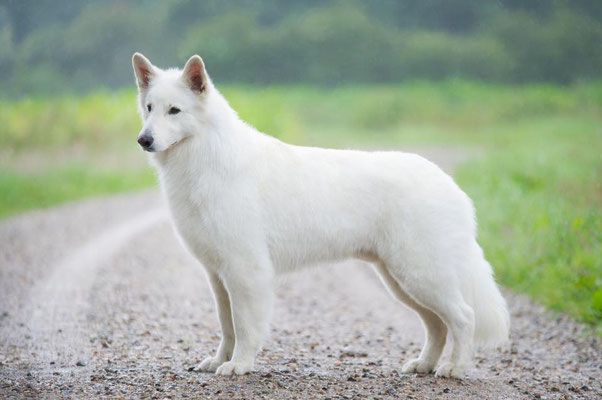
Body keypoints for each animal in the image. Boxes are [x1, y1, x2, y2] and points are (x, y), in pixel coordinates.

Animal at [130, 53, 506, 378]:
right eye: (149, 108)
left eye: (174, 111)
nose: (143, 140)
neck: (205, 155)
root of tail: (450, 185)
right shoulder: (218, 275)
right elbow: (227, 327)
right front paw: (220, 360)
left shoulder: (245, 271)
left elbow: (245, 327)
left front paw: (239, 365)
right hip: (401, 280)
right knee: (437, 325)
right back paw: (424, 365)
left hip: (421, 274)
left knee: (464, 317)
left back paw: (454, 369)